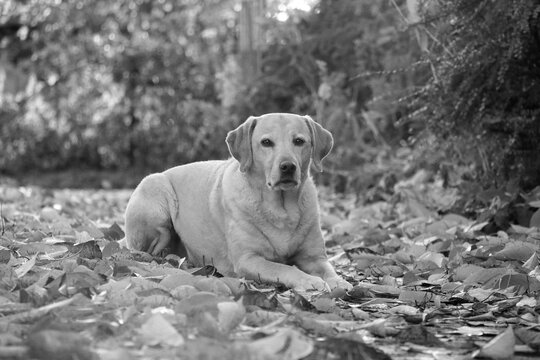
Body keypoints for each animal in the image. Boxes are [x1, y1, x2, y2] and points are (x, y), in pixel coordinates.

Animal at [124, 114, 352, 292]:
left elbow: (328, 269)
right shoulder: (248, 259)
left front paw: (338, 281)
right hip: (155, 191)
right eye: (266, 142)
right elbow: (284, 268)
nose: (288, 166)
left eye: (299, 141)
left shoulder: (314, 257)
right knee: (149, 248)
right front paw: (310, 280)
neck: (281, 208)